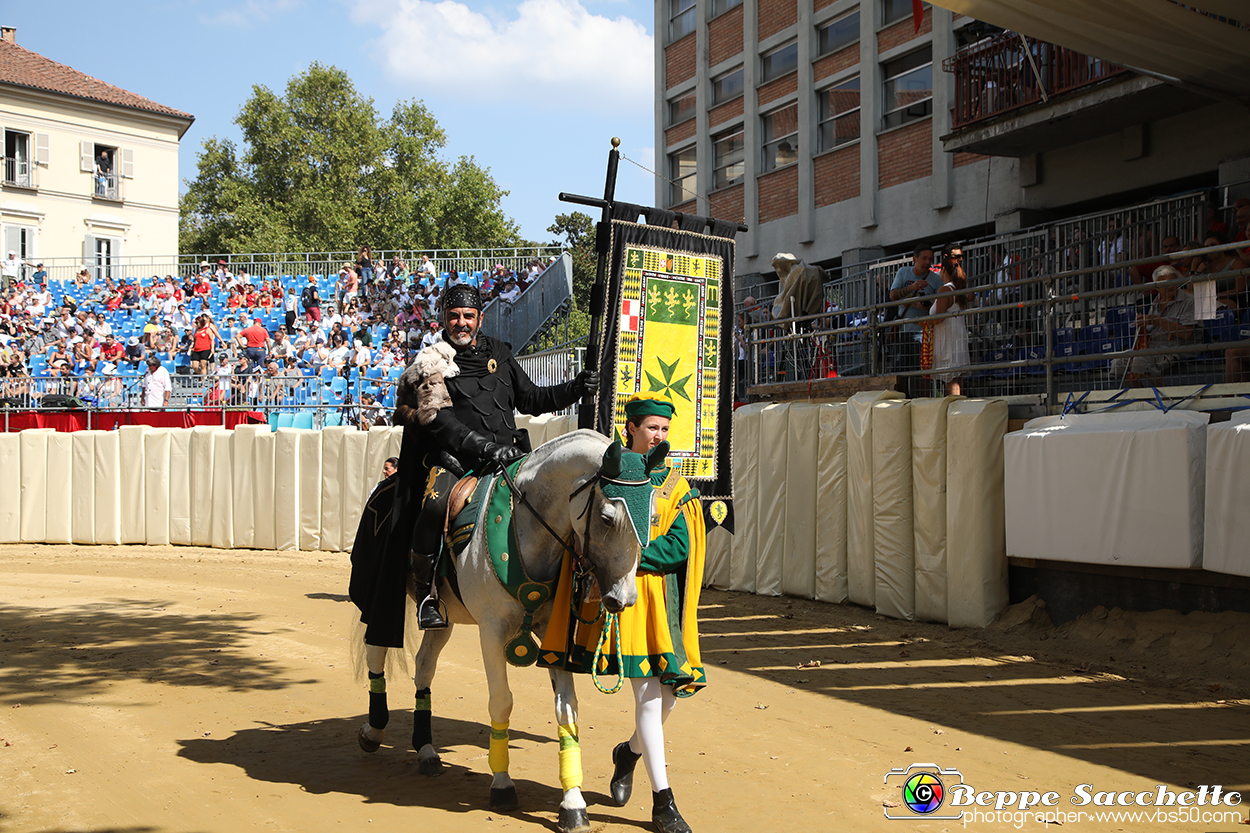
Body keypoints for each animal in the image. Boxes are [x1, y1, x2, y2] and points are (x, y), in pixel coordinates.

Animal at [357, 427, 660, 830]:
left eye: (652, 516)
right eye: (608, 517)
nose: (622, 599)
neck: (527, 529)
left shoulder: (553, 636)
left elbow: (567, 710)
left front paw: (573, 803)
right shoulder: (491, 632)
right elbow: (501, 702)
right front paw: (502, 784)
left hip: (444, 617)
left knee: (424, 666)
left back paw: (426, 750)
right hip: (381, 595)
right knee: (376, 650)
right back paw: (373, 729)